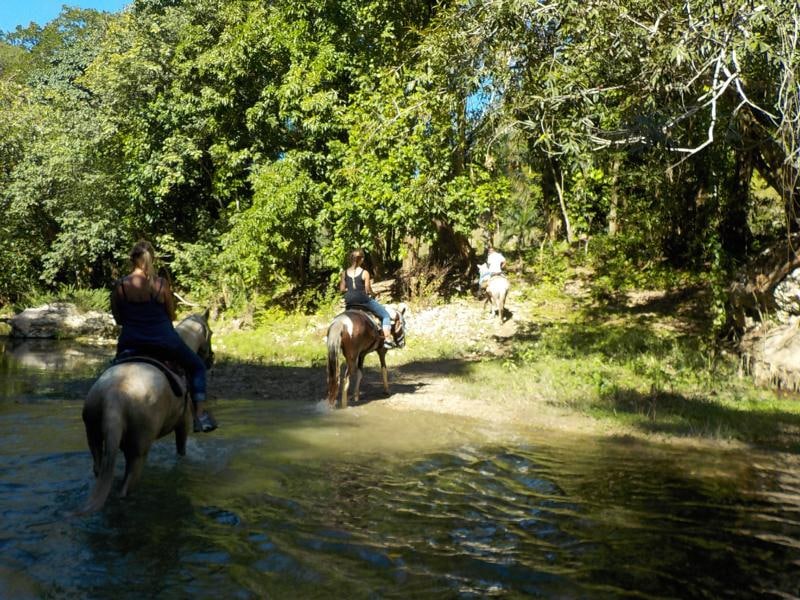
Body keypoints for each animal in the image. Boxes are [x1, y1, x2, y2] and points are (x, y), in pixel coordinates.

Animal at [79, 310, 214, 514]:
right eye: (211, 333)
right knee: (125, 489)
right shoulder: (183, 424)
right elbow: (181, 451)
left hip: (94, 440)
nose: (211, 359)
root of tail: (113, 397)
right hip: (137, 454)